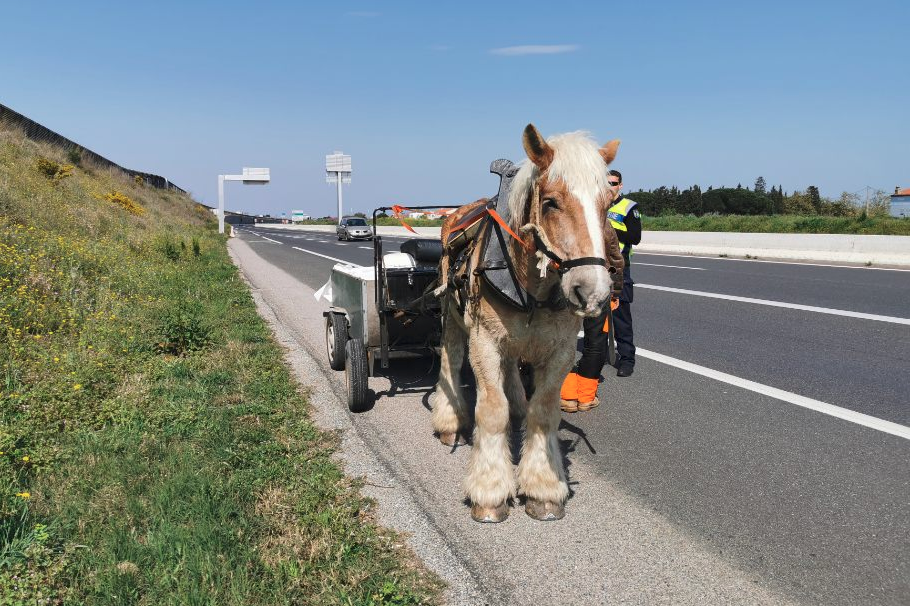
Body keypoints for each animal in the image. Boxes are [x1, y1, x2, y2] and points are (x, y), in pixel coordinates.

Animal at [434, 123, 628, 524]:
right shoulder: (484, 343)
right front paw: (490, 490)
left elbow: (544, 411)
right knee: (450, 361)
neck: (530, 288)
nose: (595, 292)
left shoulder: (560, 352)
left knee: (513, 378)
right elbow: (492, 411)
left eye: (607, 204)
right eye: (551, 202)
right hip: (453, 318)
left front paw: (543, 486)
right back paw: (449, 421)